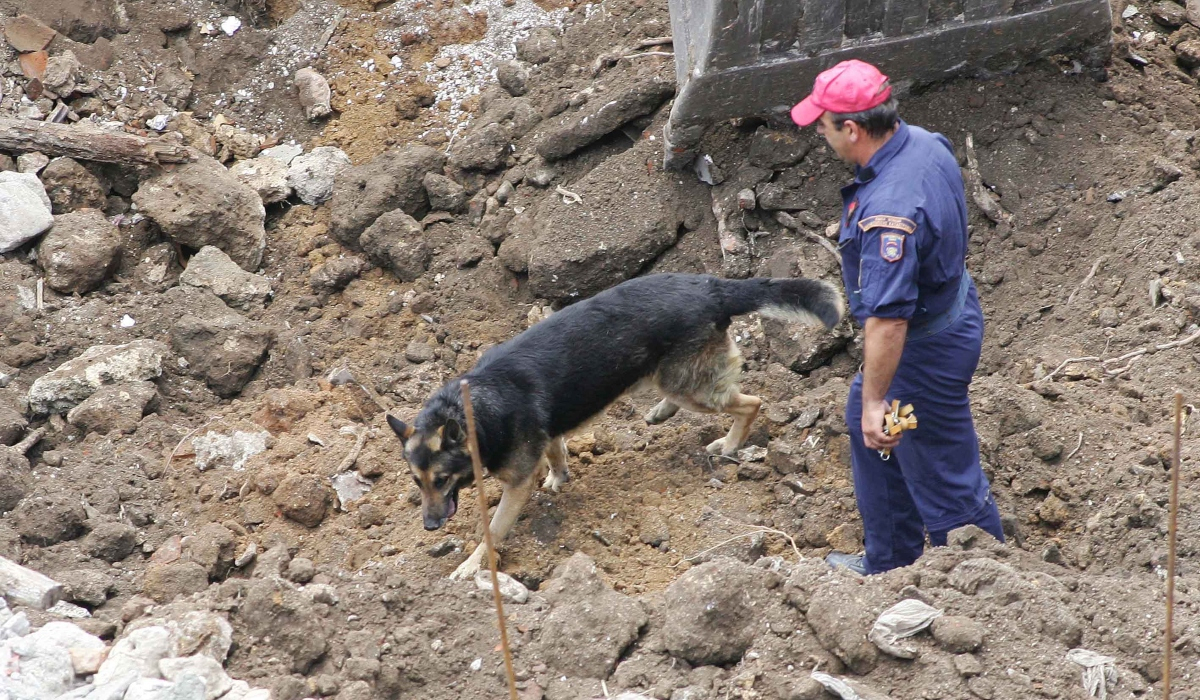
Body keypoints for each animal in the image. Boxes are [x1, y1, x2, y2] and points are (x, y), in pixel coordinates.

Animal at [388, 273, 840, 581]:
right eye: (415, 482)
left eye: (442, 479)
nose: (429, 526)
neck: (472, 408)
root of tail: (713, 287)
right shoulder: (547, 431)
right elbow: (556, 451)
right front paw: (557, 477)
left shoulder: (515, 485)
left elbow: (492, 531)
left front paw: (469, 566)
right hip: (679, 380)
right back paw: (661, 412)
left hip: (691, 387)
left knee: (750, 403)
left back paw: (729, 444)